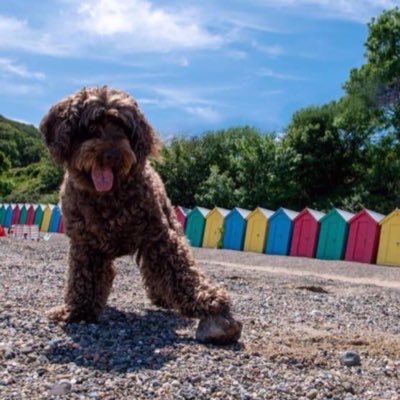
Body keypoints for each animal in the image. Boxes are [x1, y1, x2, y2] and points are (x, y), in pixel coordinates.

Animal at [39, 86, 241, 344]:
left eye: (123, 127)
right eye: (91, 126)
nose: (113, 154)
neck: (108, 196)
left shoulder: (159, 237)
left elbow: (181, 270)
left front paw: (208, 299)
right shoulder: (85, 245)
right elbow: (82, 279)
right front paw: (76, 311)